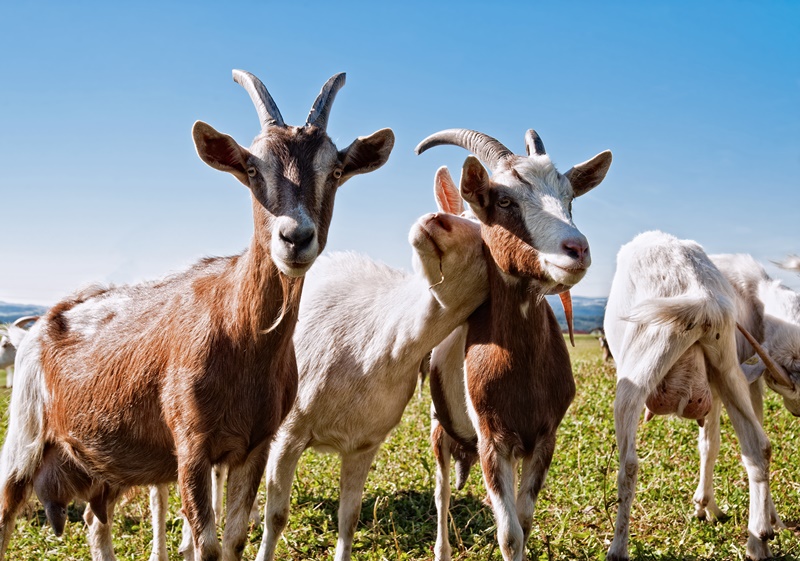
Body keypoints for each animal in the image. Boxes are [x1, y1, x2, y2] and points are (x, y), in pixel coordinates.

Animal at [0, 70, 394, 560]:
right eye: (252, 169)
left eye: (335, 171)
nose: (295, 237)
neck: (239, 335)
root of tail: (48, 320)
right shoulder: (190, 446)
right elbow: (206, 545)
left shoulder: (255, 445)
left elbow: (235, 538)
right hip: (24, 433)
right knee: (7, 510)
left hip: (106, 459)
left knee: (95, 519)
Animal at [412, 128, 612, 560]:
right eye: (504, 201)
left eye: (570, 199)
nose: (577, 249)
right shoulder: (493, 440)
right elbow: (509, 533)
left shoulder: (544, 436)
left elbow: (524, 520)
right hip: (439, 426)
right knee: (442, 493)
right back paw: (442, 549)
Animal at [604, 231, 784, 560]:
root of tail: (701, 296)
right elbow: (710, 444)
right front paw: (708, 509)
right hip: (726, 363)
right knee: (758, 447)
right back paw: (759, 541)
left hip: (641, 365)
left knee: (629, 466)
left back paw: (618, 548)